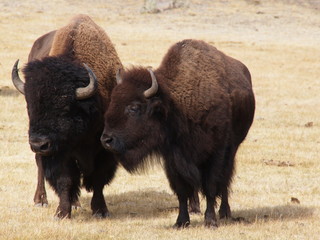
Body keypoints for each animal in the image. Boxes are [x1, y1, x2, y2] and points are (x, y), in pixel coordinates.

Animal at [11, 14, 122, 218]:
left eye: (64, 109)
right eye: (31, 107)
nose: (38, 143)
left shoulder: (105, 147)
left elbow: (98, 179)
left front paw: (100, 211)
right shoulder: (60, 152)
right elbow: (65, 179)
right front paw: (62, 213)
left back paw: (76, 203)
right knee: (40, 165)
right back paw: (41, 200)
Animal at [100, 39, 255, 227]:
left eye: (134, 107)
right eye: (112, 102)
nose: (106, 140)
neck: (176, 104)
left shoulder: (216, 153)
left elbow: (211, 186)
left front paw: (210, 220)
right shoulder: (173, 158)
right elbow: (181, 190)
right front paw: (181, 222)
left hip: (232, 149)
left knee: (225, 181)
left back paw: (225, 213)